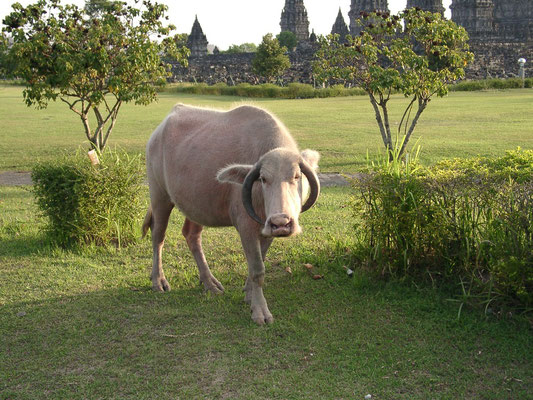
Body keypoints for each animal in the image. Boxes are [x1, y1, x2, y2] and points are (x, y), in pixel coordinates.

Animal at [141, 104, 320, 324]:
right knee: (158, 235)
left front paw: (249, 293)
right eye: (263, 179)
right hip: (159, 195)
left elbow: (259, 262)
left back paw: (209, 282)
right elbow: (258, 270)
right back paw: (158, 280)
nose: (281, 222)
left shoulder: (266, 229)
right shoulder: (245, 226)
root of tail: (157, 132)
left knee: (191, 235)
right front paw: (260, 311)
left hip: (196, 204)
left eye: (296, 176)